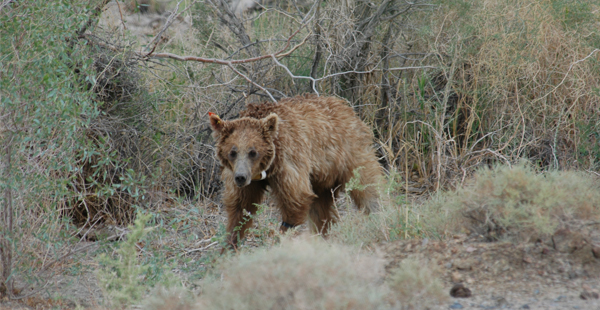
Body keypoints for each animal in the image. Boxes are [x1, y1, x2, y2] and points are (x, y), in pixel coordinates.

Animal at [209, 93, 382, 248]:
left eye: (253, 152)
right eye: (233, 152)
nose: (241, 177)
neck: (268, 167)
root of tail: (347, 108)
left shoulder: (289, 161)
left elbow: (296, 199)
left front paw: (282, 237)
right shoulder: (245, 179)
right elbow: (240, 209)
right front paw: (228, 246)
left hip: (350, 154)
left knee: (368, 188)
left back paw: (379, 216)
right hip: (321, 177)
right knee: (320, 209)